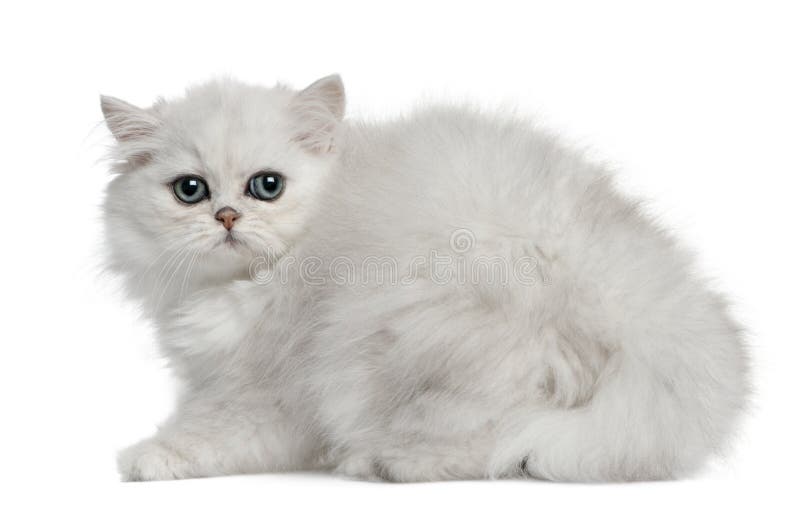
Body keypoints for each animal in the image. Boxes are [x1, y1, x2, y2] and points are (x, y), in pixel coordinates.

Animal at [101, 74, 752, 482]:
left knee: (494, 440)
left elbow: (208, 430)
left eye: (267, 186)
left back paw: (386, 463)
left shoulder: (272, 384)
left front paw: (146, 458)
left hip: (409, 342)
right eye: (190, 190)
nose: (228, 217)